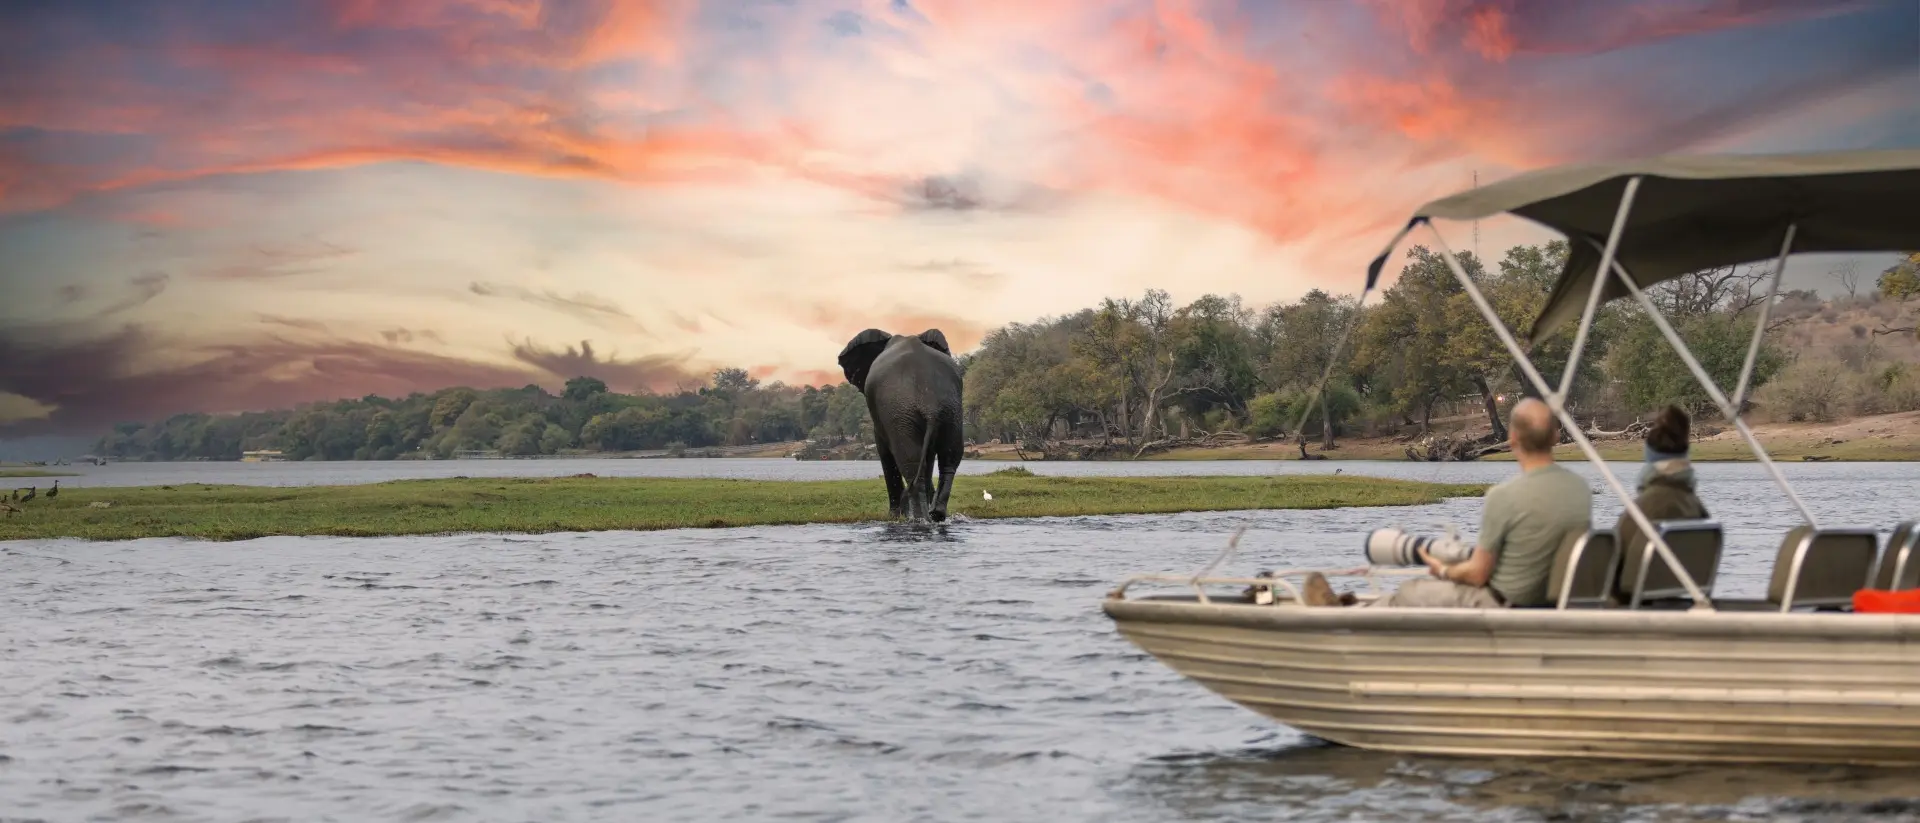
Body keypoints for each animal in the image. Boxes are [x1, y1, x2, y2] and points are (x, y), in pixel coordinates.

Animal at [837, 327, 965, 522]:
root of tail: (930, 404)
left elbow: (884, 450)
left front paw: (894, 516)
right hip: (950, 410)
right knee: (949, 459)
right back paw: (936, 515)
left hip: (901, 413)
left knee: (910, 462)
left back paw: (920, 519)